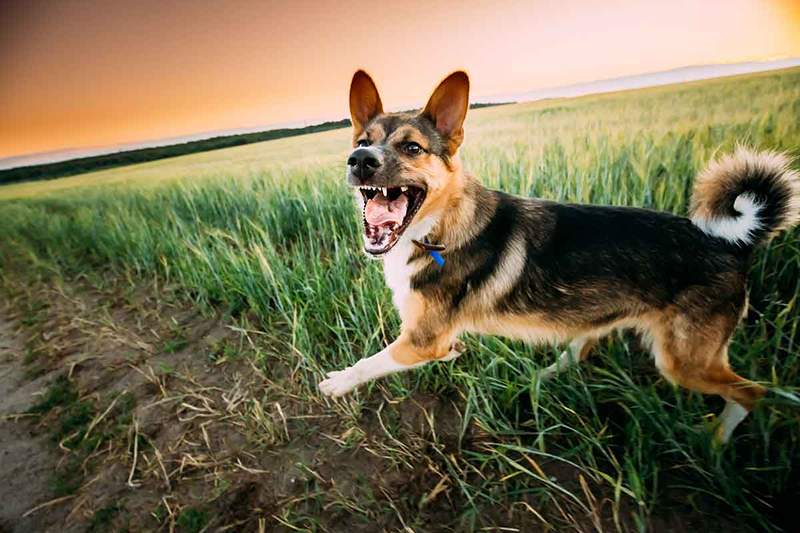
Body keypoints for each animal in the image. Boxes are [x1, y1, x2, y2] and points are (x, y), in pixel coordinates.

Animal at [318, 71, 800, 444]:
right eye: (362, 141)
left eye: (412, 148)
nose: (359, 160)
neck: (438, 227)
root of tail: (733, 244)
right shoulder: (433, 341)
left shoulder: (421, 342)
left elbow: (368, 363)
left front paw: (338, 382)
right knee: (582, 347)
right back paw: (544, 376)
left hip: (683, 360)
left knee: (752, 393)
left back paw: (716, 441)